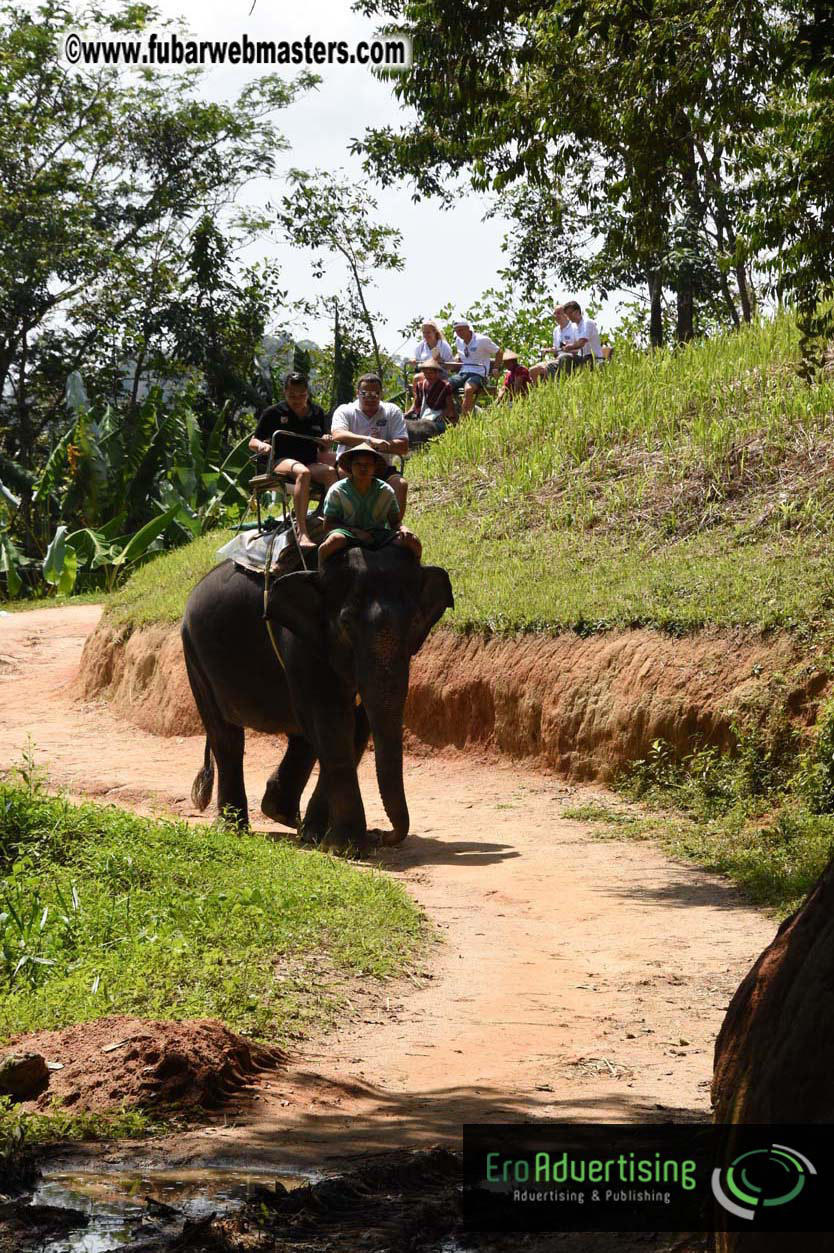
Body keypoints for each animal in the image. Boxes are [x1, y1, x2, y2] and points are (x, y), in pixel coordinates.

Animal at [181, 544, 453, 851]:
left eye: (416, 621)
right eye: (345, 623)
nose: (382, 834)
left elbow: (357, 726)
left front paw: (322, 837)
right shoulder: (301, 642)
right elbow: (332, 724)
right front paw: (347, 847)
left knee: (301, 738)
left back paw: (285, 817)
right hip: (194, 656)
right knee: (226, 738)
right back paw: (234, 828)